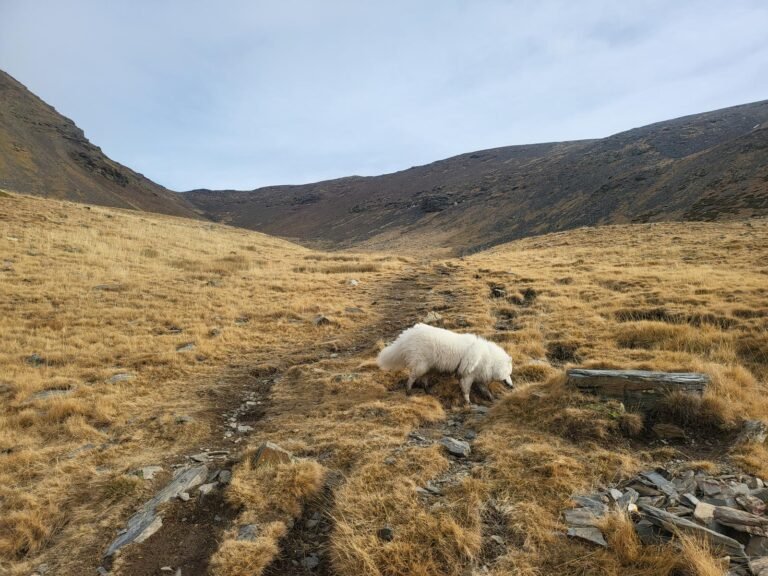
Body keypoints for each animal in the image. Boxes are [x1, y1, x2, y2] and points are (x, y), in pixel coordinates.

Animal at [376, 324, 512, 404]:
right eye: (509, 373)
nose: (512, 386)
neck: (489, 360)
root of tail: (407, 336)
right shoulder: (467, 376)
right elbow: (466, 390)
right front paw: (468, 403)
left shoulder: (477, 377)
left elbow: (485, 390)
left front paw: (491, 398)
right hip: (421, 365)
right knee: (412, 378)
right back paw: (408, 391)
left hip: (429, 367)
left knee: (424, 380)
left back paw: (428, 392)